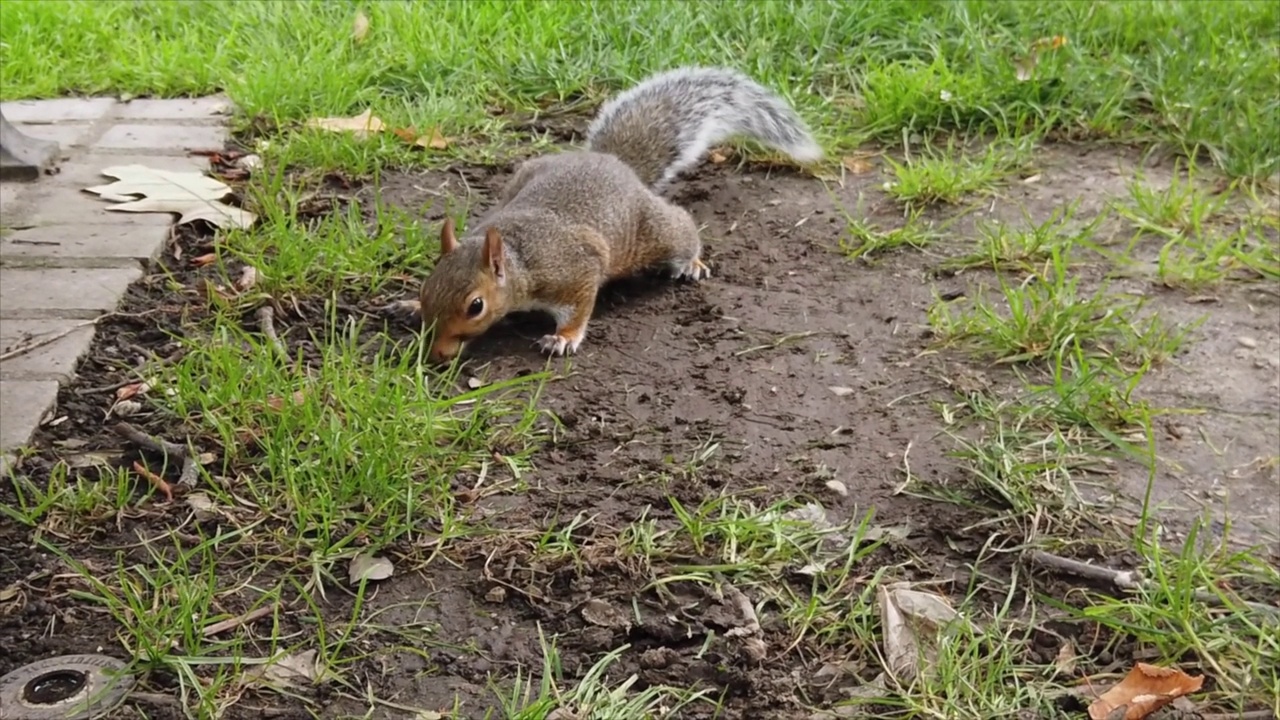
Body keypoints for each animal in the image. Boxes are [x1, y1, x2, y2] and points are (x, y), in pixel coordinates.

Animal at [414, 64, 824, 361]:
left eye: (476, 306)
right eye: (425, 289)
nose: (437, 355)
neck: (519, 260)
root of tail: (614, 163)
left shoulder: (574, 270)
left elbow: (579, 308)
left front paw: (563, 338)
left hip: (655, 232)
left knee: (681, 228)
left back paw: (691, 262)